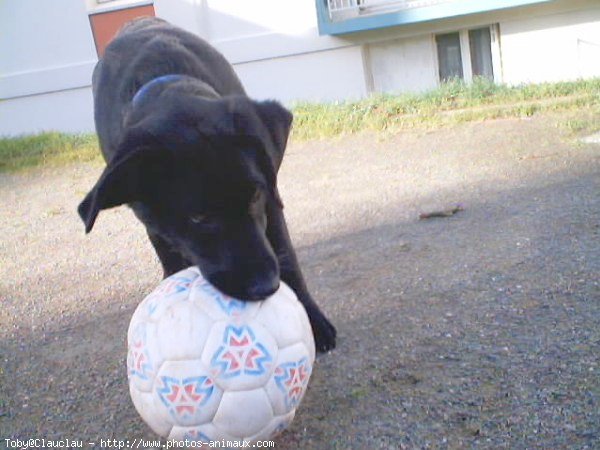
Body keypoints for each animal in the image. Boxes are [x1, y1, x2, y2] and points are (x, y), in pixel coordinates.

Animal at [77, 18, 336, 352]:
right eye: (198, 217)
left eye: (254, 195)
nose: (266, 286)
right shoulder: (152, 220)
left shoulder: (270, 196)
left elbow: (287, 255)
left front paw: (314, 322)